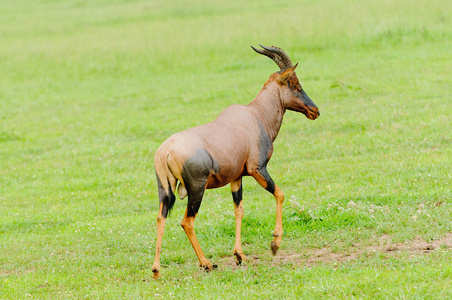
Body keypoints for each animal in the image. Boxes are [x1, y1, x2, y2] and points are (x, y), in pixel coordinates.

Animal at [154, 44, 320, 278]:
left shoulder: (237, 177)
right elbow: (280, 194)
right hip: (197, 189)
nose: (315, 111)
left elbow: (239, 210)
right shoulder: (258, 169)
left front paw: (240, 255)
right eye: (295, 84)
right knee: (187, 222)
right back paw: (206, 263)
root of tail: (165, 151)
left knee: (161, 217)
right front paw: (275, 244)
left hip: (165, 189)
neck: (255, 115)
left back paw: (156, 270)